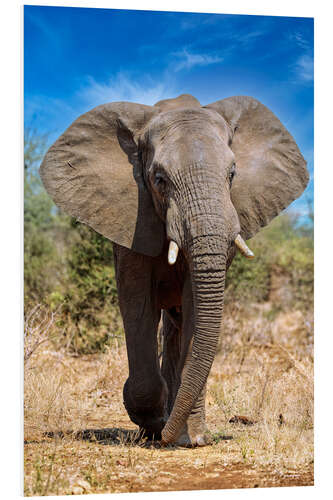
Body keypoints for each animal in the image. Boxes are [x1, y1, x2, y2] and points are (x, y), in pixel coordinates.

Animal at [40, 93, 308, 446]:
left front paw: (189, 438)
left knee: (178, 324)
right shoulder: (132, 216)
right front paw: (153, 424)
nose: (165, 434)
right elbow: (137, 302)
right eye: (159, 180)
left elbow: (196, 305)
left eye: (232, 174)